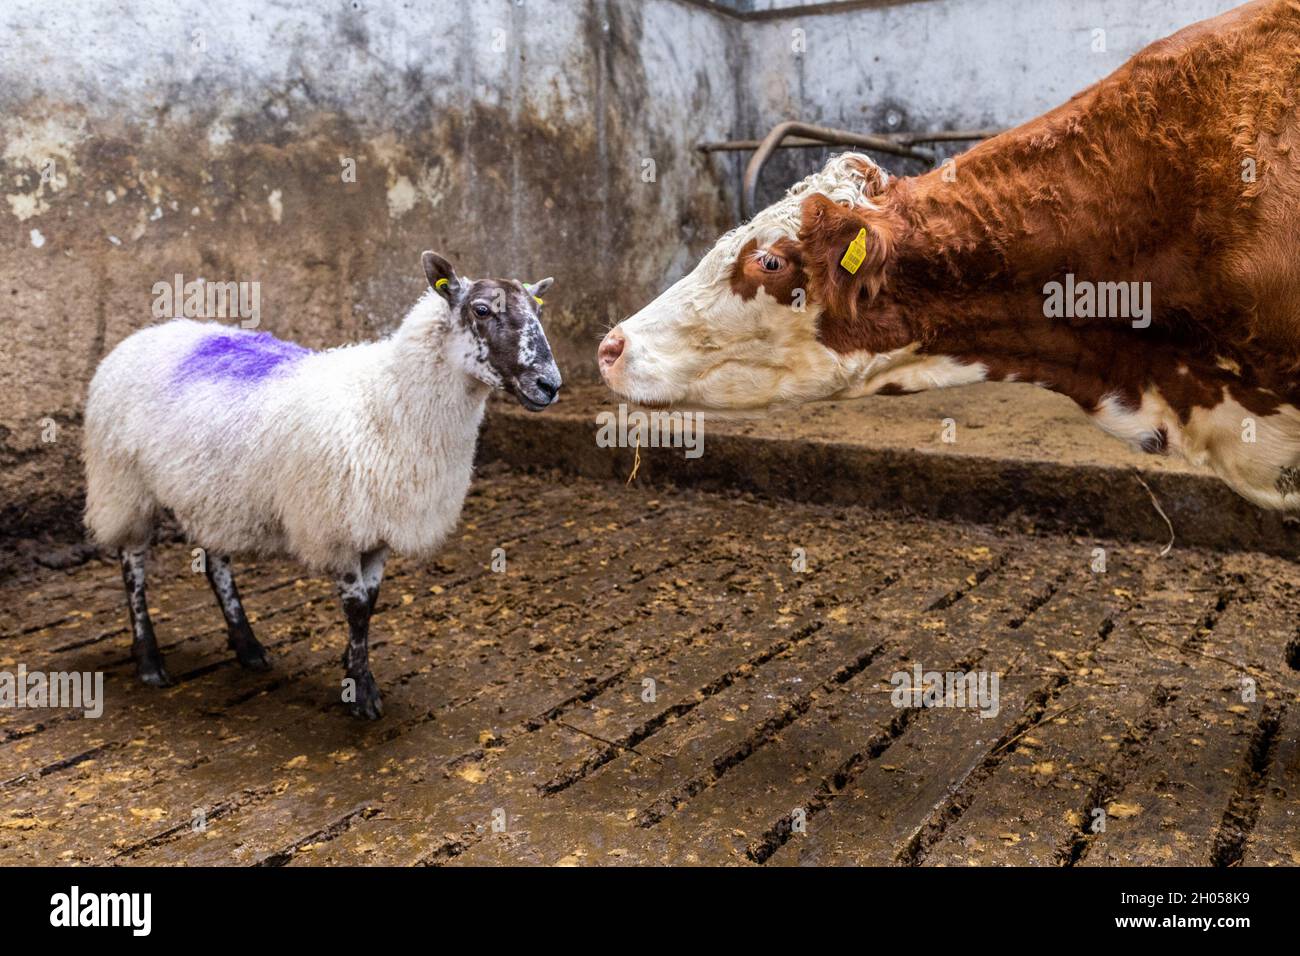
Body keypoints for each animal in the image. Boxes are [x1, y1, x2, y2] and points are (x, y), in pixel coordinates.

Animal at [83, 254, 561, 717]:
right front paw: (362, 693)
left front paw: (351, 667)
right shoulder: (338, 524)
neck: (386, 399)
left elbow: (371, 601)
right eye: (481, 310)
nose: (550, 385)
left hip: (211, 491)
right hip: (124, 483)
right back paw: (149, 661)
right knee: (133, 566)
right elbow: (355, 606)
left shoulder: (379, 524)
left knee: (216, 562)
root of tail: (150, 333)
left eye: (538, 310)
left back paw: (248, 647)